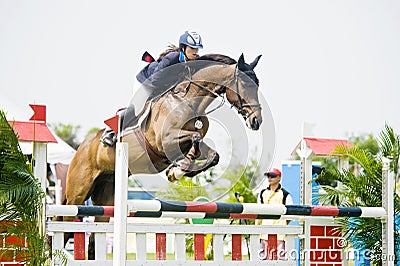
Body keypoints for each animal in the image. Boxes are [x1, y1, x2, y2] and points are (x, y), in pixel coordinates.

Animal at [63, 52, 262, 258]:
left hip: (106, 193)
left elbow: (212, 154)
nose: (256, 121)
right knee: (66, 222)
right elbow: (195, 138)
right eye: (245, 84)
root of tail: (81, 147)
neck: (190, 102)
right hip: (77, 193)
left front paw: (179, 170)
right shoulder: (165, 141)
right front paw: (179, 169)